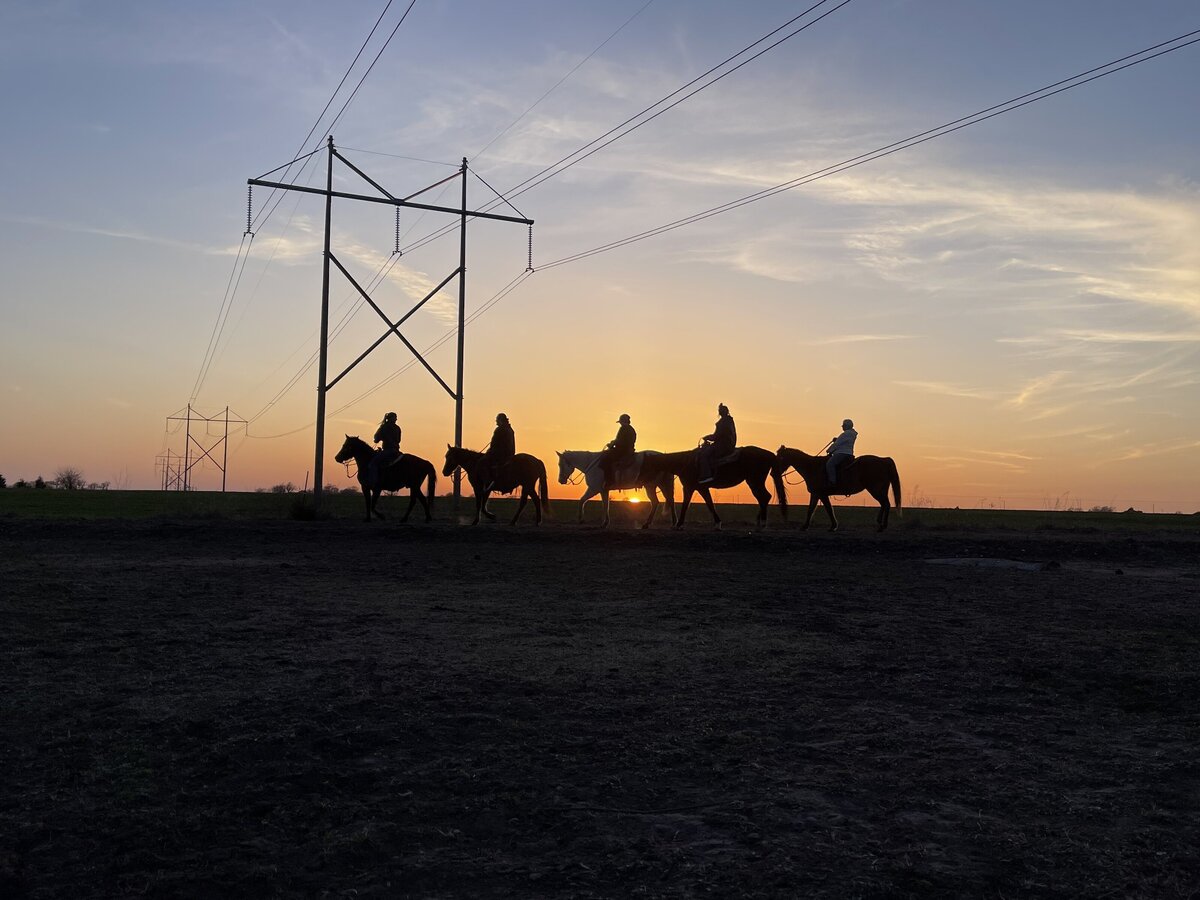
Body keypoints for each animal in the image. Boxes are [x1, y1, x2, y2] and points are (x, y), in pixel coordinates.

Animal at [638, 448, 787, 532]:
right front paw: (717, 523)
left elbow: (689, 505)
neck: (686, 462)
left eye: (645, 465)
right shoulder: (699, 488)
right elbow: (708, 504)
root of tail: (770, 455)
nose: (639, 481)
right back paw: (759, 523)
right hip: (753, 482)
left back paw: (761, 524)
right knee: (764, 498)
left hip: (755, 481)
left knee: (764, 497)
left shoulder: (692, 487)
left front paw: (679, 525)